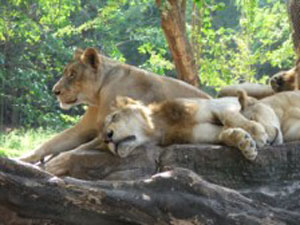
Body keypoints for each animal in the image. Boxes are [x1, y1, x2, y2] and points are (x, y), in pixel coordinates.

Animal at [19, 47, 210, 165]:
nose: (55, 91)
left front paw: (56, 162)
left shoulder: (108, 129)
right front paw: (23, 158)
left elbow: (75, 150)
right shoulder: (84, 129)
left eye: (72, 74)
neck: (98, 95)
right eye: (66, 73)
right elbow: (49, 143)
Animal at [101, 96, 272, 161]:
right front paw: (245, 143)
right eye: (102, 142)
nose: (106, 137)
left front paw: (257, 134)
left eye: (114, 117)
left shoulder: (219, 104)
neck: (161, 127)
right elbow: (224, 135)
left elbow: (231, 116)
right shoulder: (202, 134)